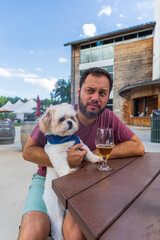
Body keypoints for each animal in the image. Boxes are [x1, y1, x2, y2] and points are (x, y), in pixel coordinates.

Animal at [39, 103, 102, 240]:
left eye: (72, 118)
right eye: (62, 119)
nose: (69, 122)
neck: (65, 139)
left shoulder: (81, 145)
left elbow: (89, 153)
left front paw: (96, 158)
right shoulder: (57, 155)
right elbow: (62, 165)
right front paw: (68, 172)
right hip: (54, 210)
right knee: (57, 229)